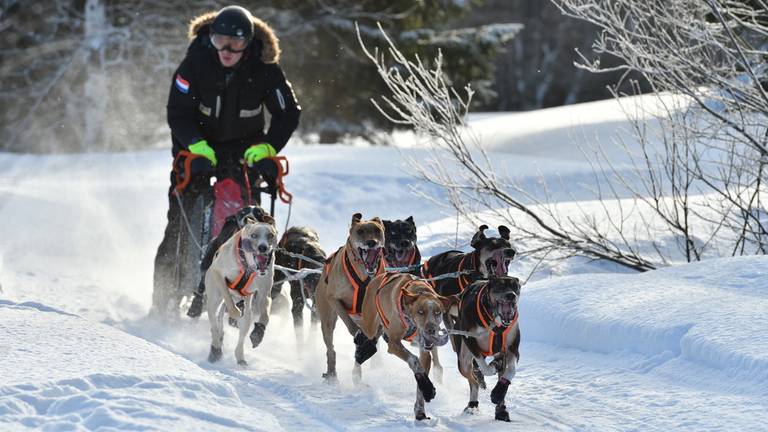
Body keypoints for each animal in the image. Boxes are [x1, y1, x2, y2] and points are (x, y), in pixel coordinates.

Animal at [206, 216, 278, 364]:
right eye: (254, 235)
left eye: (270, 235)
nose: (263, 247)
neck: (248, 267)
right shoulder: (218, 274)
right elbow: (231, 307)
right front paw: (236, 312)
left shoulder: (264, 293)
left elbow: (265, 316)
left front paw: (258, 333)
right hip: (214, 298)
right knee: (214, 324)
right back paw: (216, 348)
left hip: (247, 308)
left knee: (242, 329)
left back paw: (240, 356)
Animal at [314, 212, 384, 382]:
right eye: (360, 231)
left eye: (377, 230)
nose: (371, 242)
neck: (364, 274)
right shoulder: (334, 299)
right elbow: (350, 325)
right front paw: (359, 337)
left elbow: (377, 333)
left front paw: (367, 347)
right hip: (327, 320)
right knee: (330, 349)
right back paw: (332, 374)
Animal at [358, 274, 452, 422]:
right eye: (421, 311)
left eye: (438, 312)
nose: (431, 329)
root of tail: (378, 276)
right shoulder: (394, 344)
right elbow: (414, 360)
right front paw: (428, 388)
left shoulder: (425, 352)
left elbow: (420, 373)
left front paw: (420, 410)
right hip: (370, 327)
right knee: (364, 342)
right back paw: (356, 374)